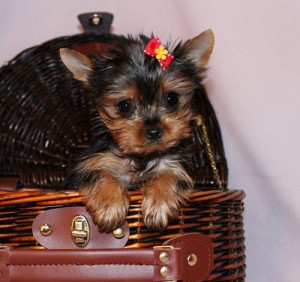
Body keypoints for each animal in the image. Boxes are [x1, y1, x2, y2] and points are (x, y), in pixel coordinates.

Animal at [60, 29, 213, 231]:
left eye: (171, 98)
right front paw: (109, 206)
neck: (141, 158)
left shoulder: (173, 165)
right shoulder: (87, 167)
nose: (154, 131)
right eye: (124, 106)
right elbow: (101, 174)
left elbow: (170, 175)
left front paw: (158, 206)